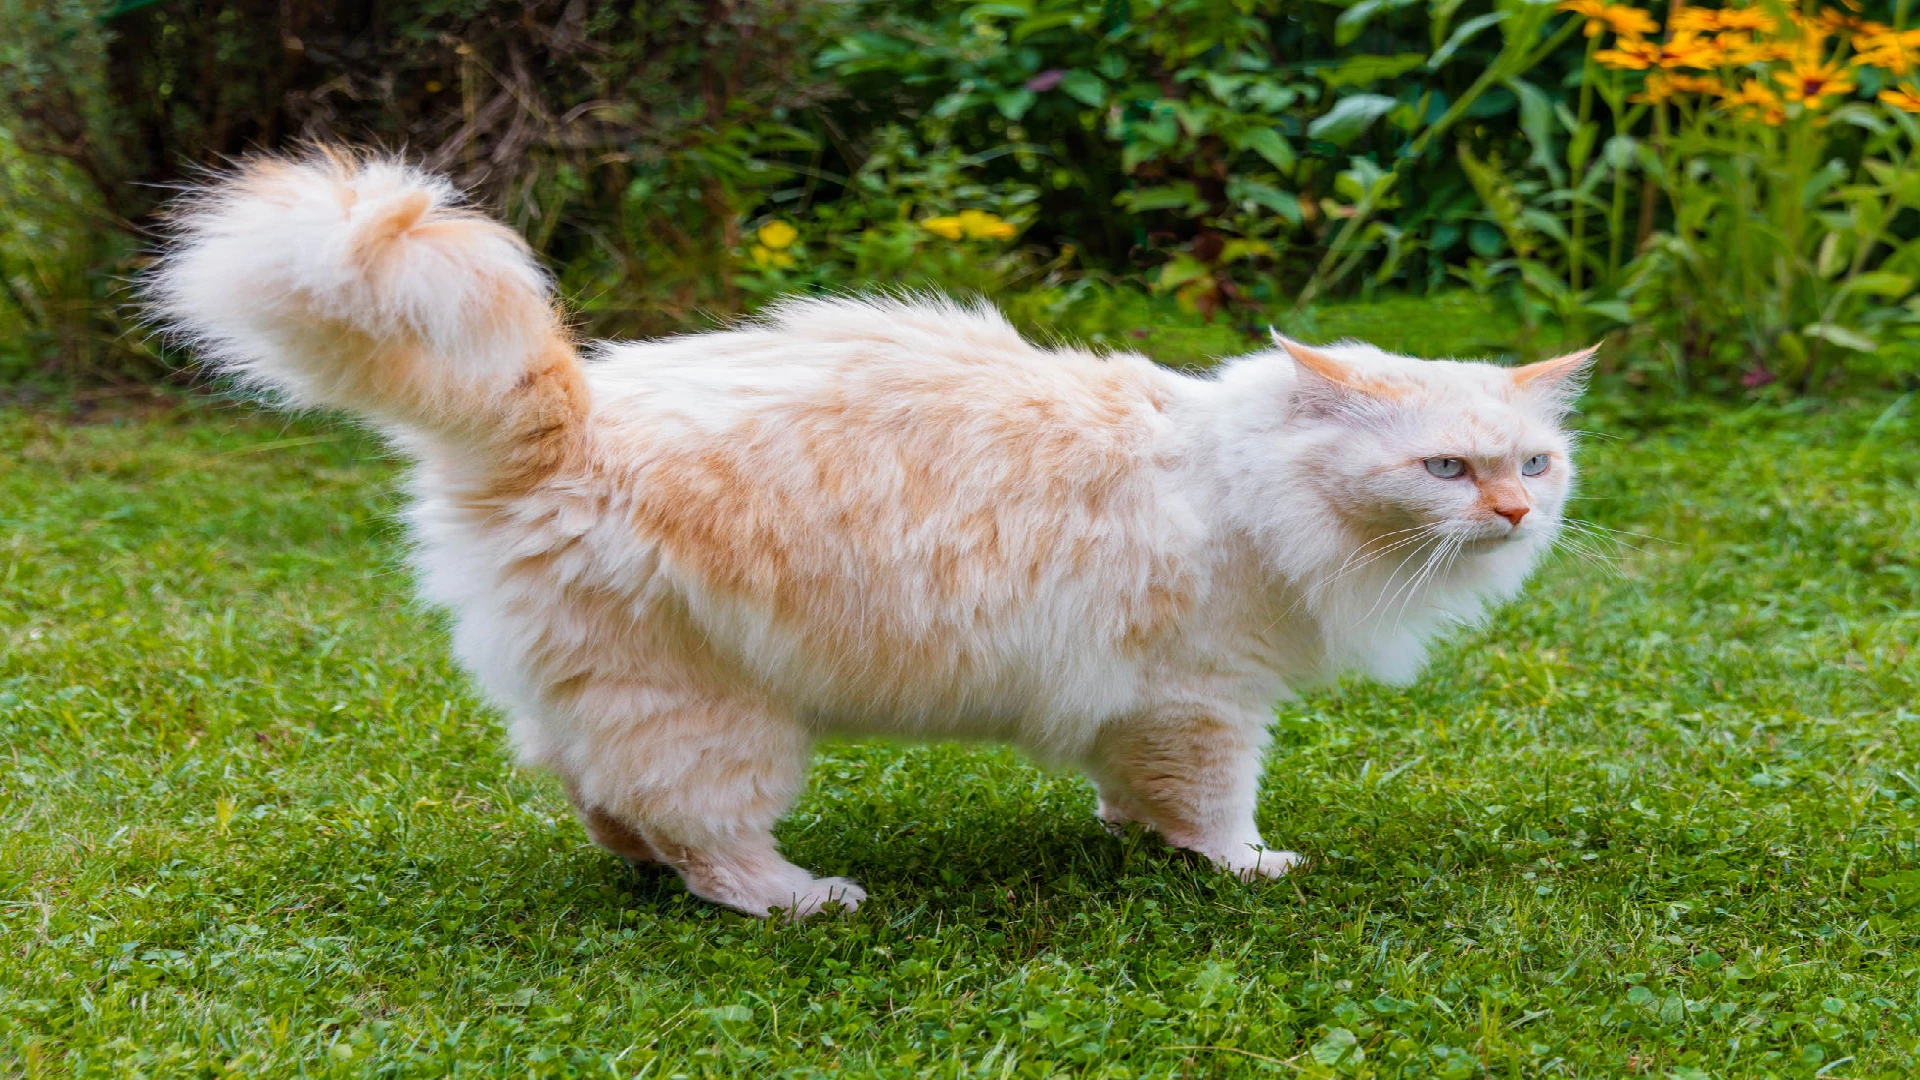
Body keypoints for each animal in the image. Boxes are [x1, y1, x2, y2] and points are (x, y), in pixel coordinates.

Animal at [145, 147, 1589, 910]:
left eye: (1535, 462)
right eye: (1445, 467)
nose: (1517, 511)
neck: (1250, 488)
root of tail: (568, 414)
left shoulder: (1153, 704)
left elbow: (1135, 786)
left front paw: (1133, 834)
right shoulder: (1209, 696)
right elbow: (1219, 805)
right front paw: (1240, 865)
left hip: (604, 687)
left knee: (594, 789)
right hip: (722, 717)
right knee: (700, 832)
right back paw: (797, 899)